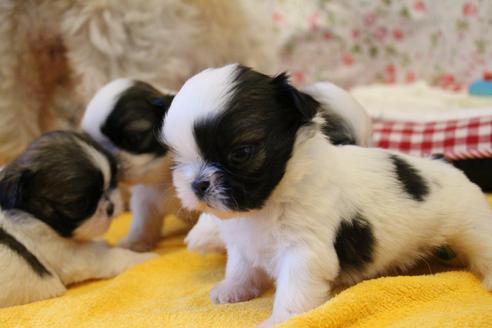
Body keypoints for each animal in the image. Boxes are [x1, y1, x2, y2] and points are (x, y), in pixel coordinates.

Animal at [0, 131, 156, 308]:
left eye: (111, 184)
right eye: (80, 203)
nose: (110, 207)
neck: (33, 216)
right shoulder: (74, 256)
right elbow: (115, 256)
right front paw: (145, 258)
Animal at [81, 79, 198, 251]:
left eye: (133, 138)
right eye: (99, 148)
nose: (112, 160)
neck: (163, 174)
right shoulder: (145, 199)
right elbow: (143, 222)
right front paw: (135, 242)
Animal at [163, 62, 492, 326]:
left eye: (241, 153)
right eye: (178, 158)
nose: (197, 184)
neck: (269, 203)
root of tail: (440, 161)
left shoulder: (304, 250)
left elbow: (294, 289)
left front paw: (281, 320)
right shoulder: (243, 243)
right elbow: (241, 267)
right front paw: (233, 288)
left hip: (471, 225)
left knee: (483, 248)